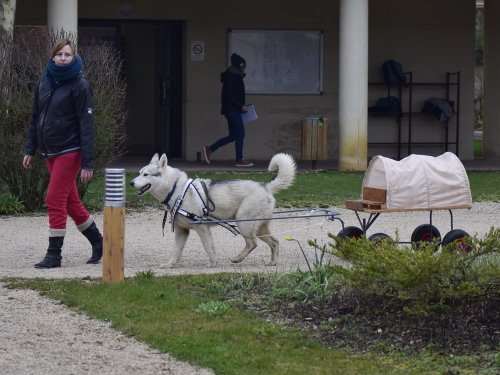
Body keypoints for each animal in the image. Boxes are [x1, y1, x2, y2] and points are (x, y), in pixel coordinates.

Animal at [130, 153, 296, 268]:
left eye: (145, 174)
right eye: (139, 173)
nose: (131, 183)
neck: (176, 190)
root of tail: (266, 186)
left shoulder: (202, 228)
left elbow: (209, 248)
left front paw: (213, 263)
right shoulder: (181, 231)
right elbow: (176, 251)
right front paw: (170, 264)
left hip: (243, 223)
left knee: (252, 244)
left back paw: (238, 258)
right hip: (259, 228)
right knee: (274, 242)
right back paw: (272, 262)